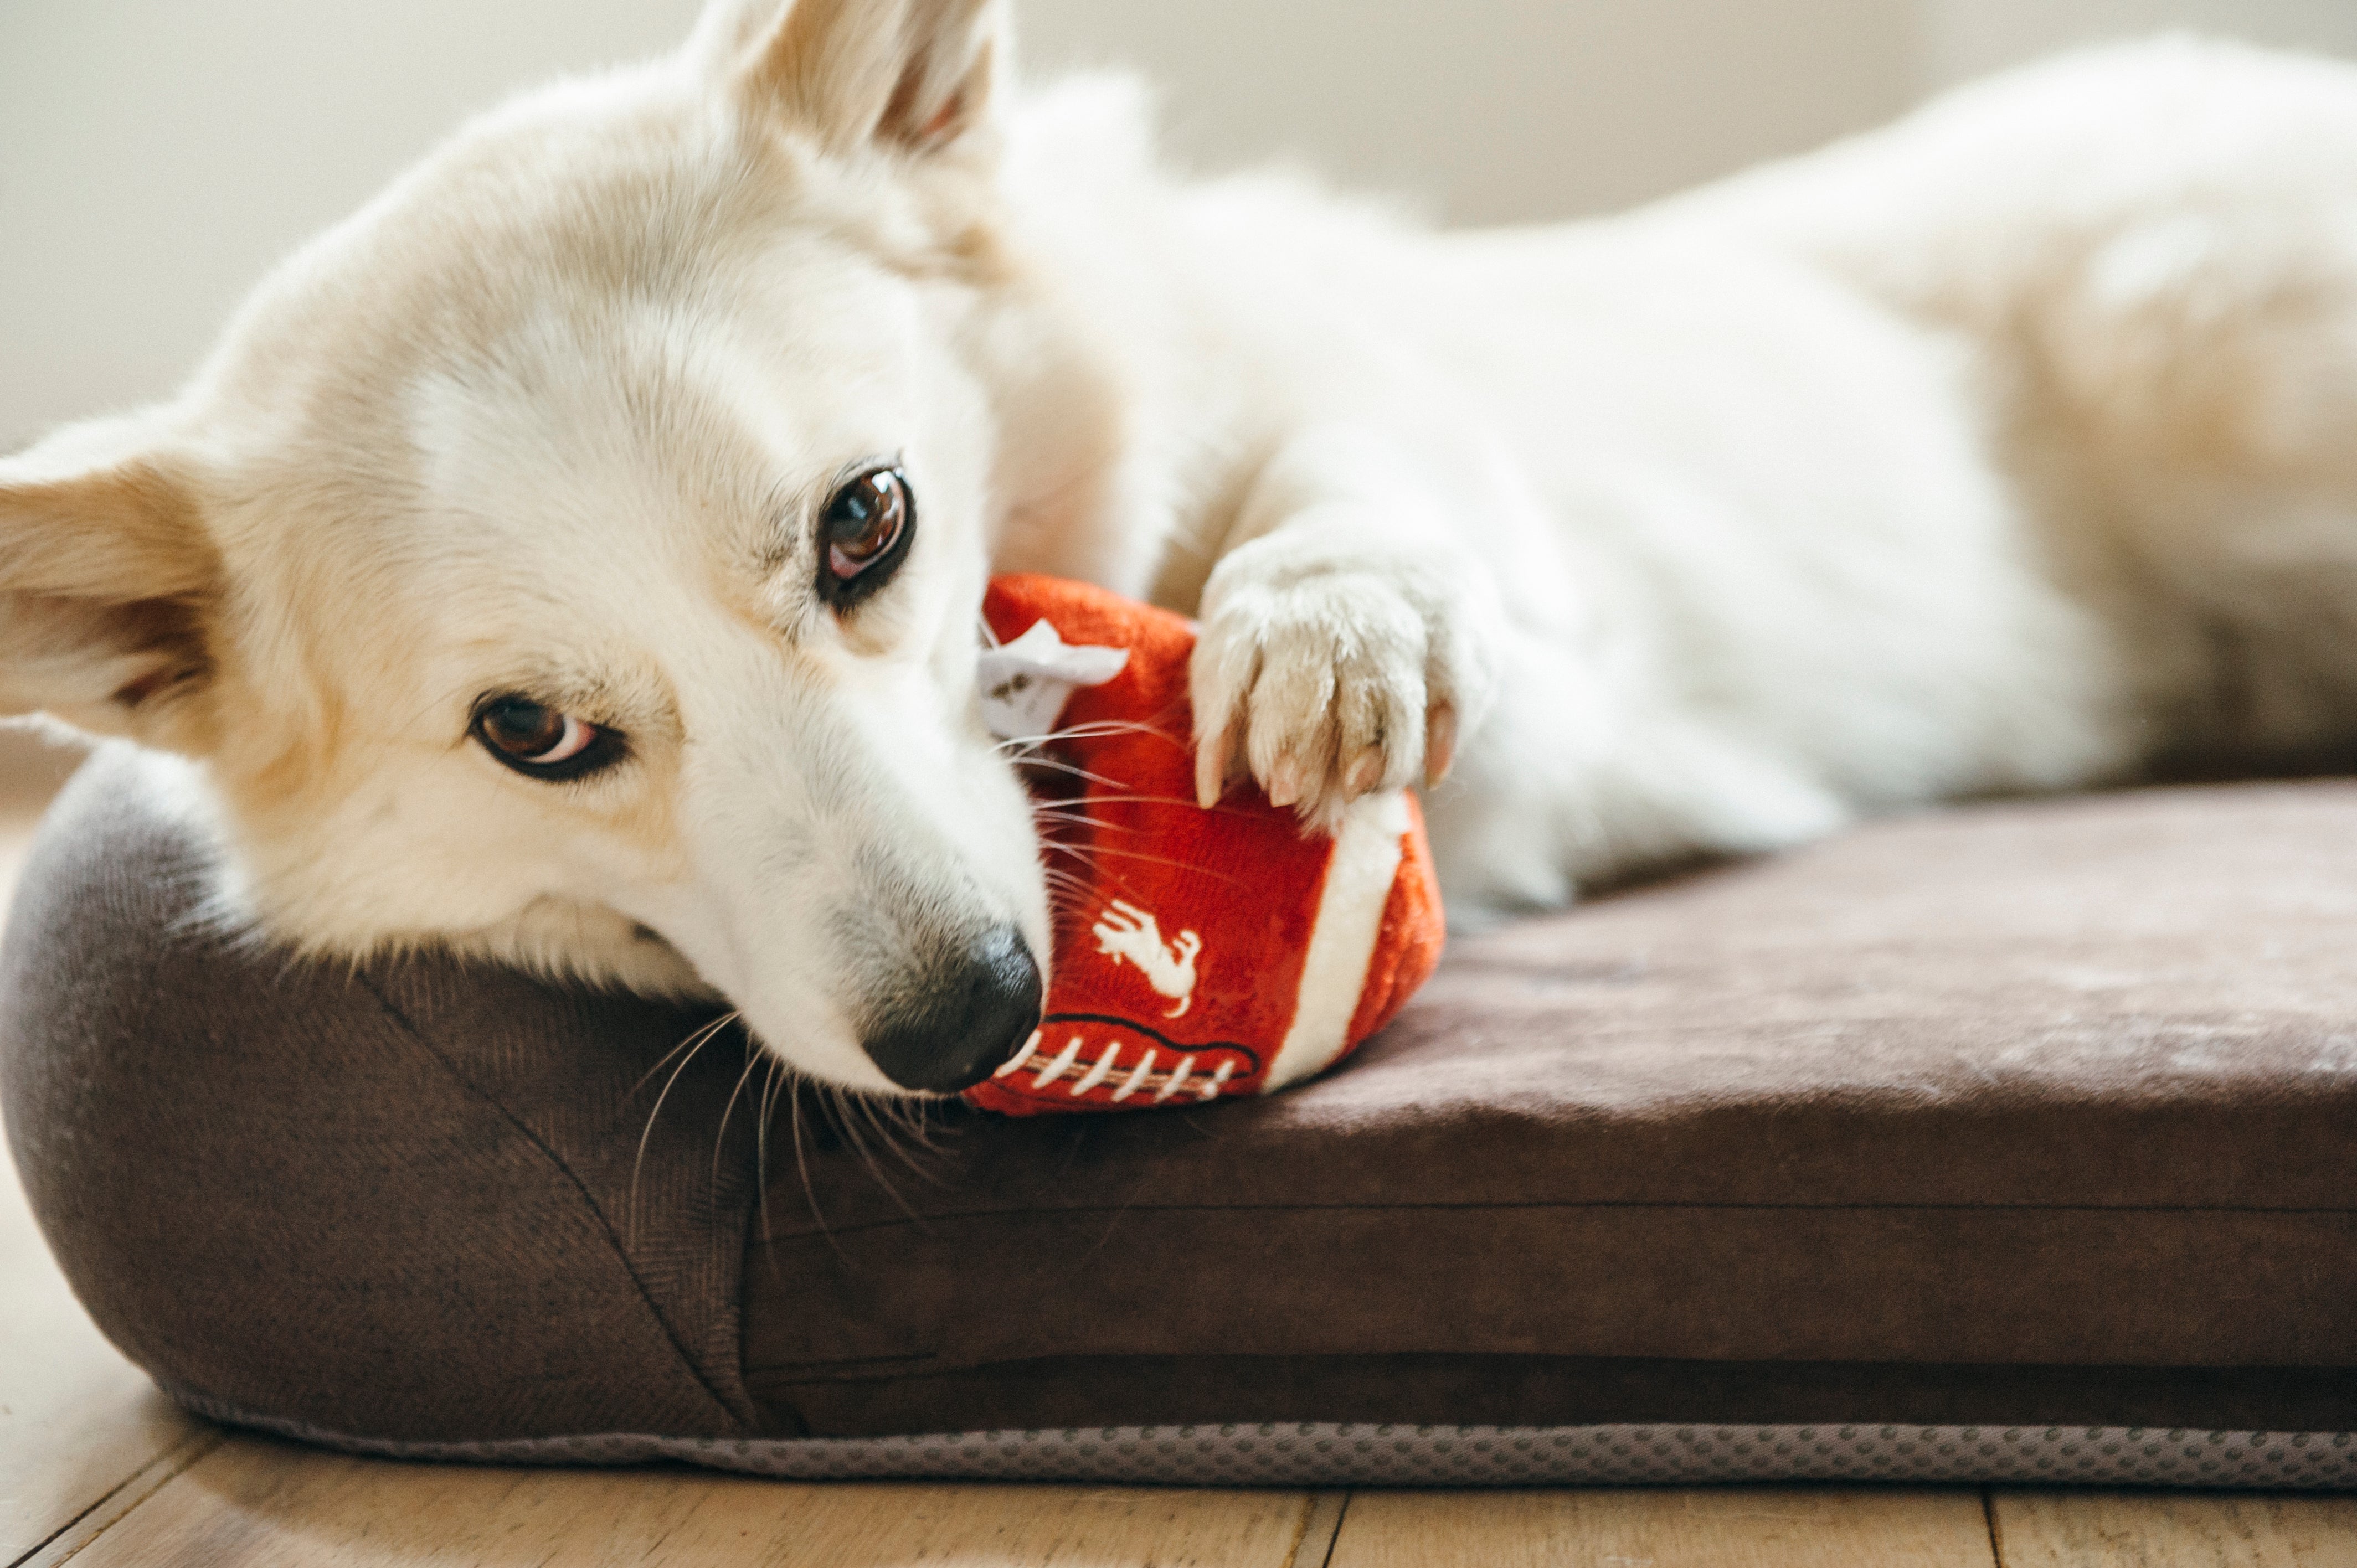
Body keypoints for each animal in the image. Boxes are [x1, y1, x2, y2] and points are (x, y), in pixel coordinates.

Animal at [4, 0, 2357, 1094]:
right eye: (532, 734)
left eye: (868, 526)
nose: (969, 1024)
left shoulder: (1496, 575)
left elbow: (1360, 481)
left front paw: (1321, 635)